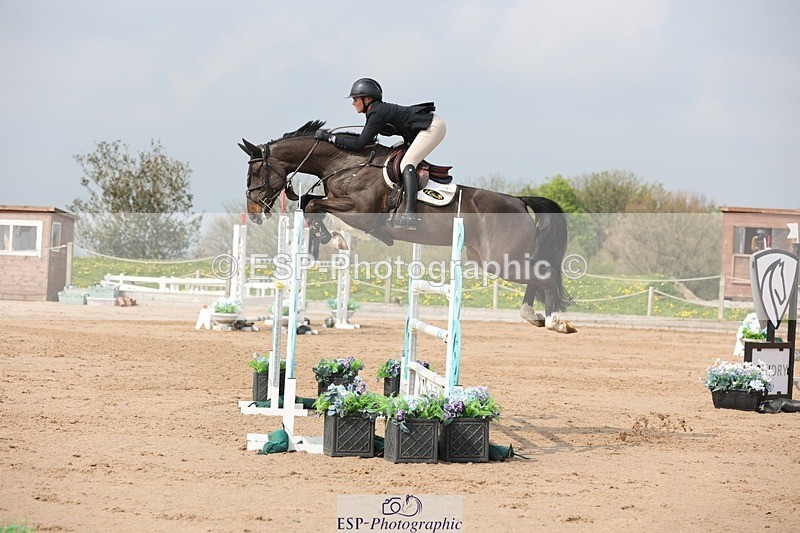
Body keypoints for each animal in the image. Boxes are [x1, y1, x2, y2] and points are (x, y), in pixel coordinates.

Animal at [240, 120, 576, 333]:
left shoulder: (360, 212)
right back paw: (532, 316)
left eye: (255, 172)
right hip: (489, 258)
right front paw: (331, 236)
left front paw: (334, 238)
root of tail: (519, 201)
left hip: (500, 260)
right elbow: (309, 201)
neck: (344, 162)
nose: (254, 213)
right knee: (538, 273)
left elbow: (312, 205)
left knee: (545, 275)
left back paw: (556, 321)